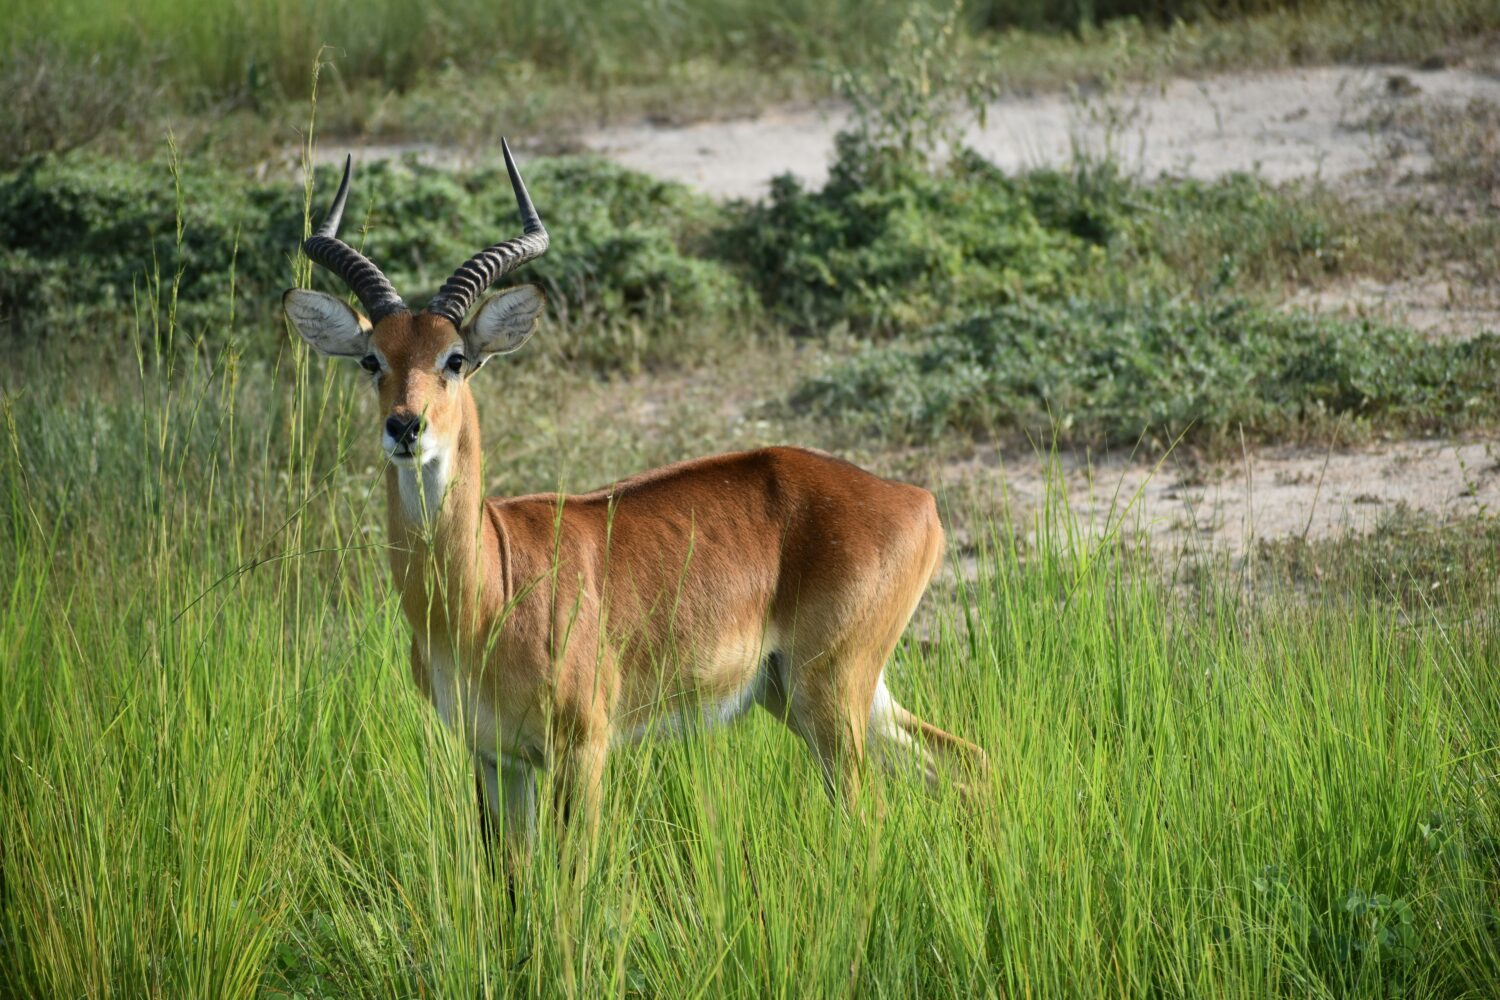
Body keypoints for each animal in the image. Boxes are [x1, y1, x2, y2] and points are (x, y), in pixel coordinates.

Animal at [282, 142, 986, 855]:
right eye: (371, 359)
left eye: (455, 358)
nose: (406, 427)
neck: (484, 593)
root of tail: (917, 499)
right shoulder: (496, 759)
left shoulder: (583, 748)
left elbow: (574, 872)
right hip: (817, 695)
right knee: (965, 761)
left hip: (831, 694)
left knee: (873, 814)